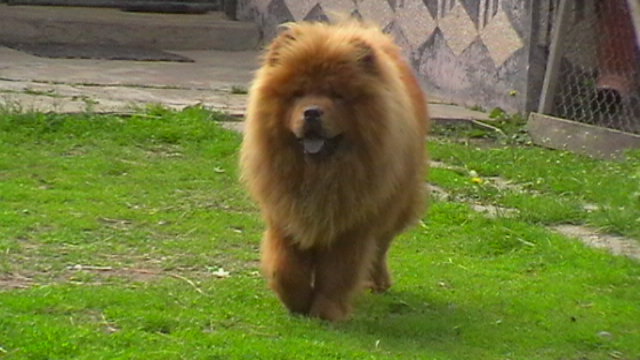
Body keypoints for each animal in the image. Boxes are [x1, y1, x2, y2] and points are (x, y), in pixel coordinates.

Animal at [240, 21, 430, 322]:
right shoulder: (285, 217)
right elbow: (285, 268)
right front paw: (298, 302)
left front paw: (326, 311)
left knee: (380, 248)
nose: (312, 112)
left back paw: (378, 281)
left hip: (395, 204)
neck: (320, 173)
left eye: (336, 95)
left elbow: (338, 275)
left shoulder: (351, 227)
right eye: (297, 93)